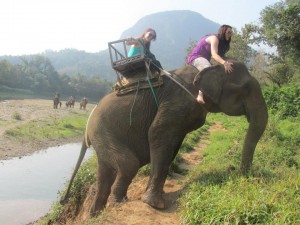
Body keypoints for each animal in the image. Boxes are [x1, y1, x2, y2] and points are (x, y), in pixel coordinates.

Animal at [60, 61, 268, 216]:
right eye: (246, 88)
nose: (235, 170)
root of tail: (87, 123)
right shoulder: (178, 102)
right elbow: (158, 133)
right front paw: (155, 204)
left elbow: (173, 143)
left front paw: (156, 196)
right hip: (103, 131)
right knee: (129, 164)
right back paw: (118, 203)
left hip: (103, 136)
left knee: (105, 171)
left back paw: (96, 213)